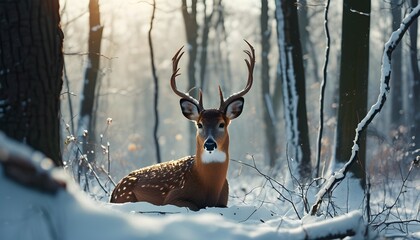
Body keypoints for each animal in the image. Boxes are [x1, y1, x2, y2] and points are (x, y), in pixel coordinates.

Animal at [110, 40, 256, 210]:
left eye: (221, 124)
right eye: (199, 124)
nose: (210, 144)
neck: (209, 186)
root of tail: (114, 191)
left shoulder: (223, 202)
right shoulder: (172, 198)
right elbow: (194, 206)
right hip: (126, 195)